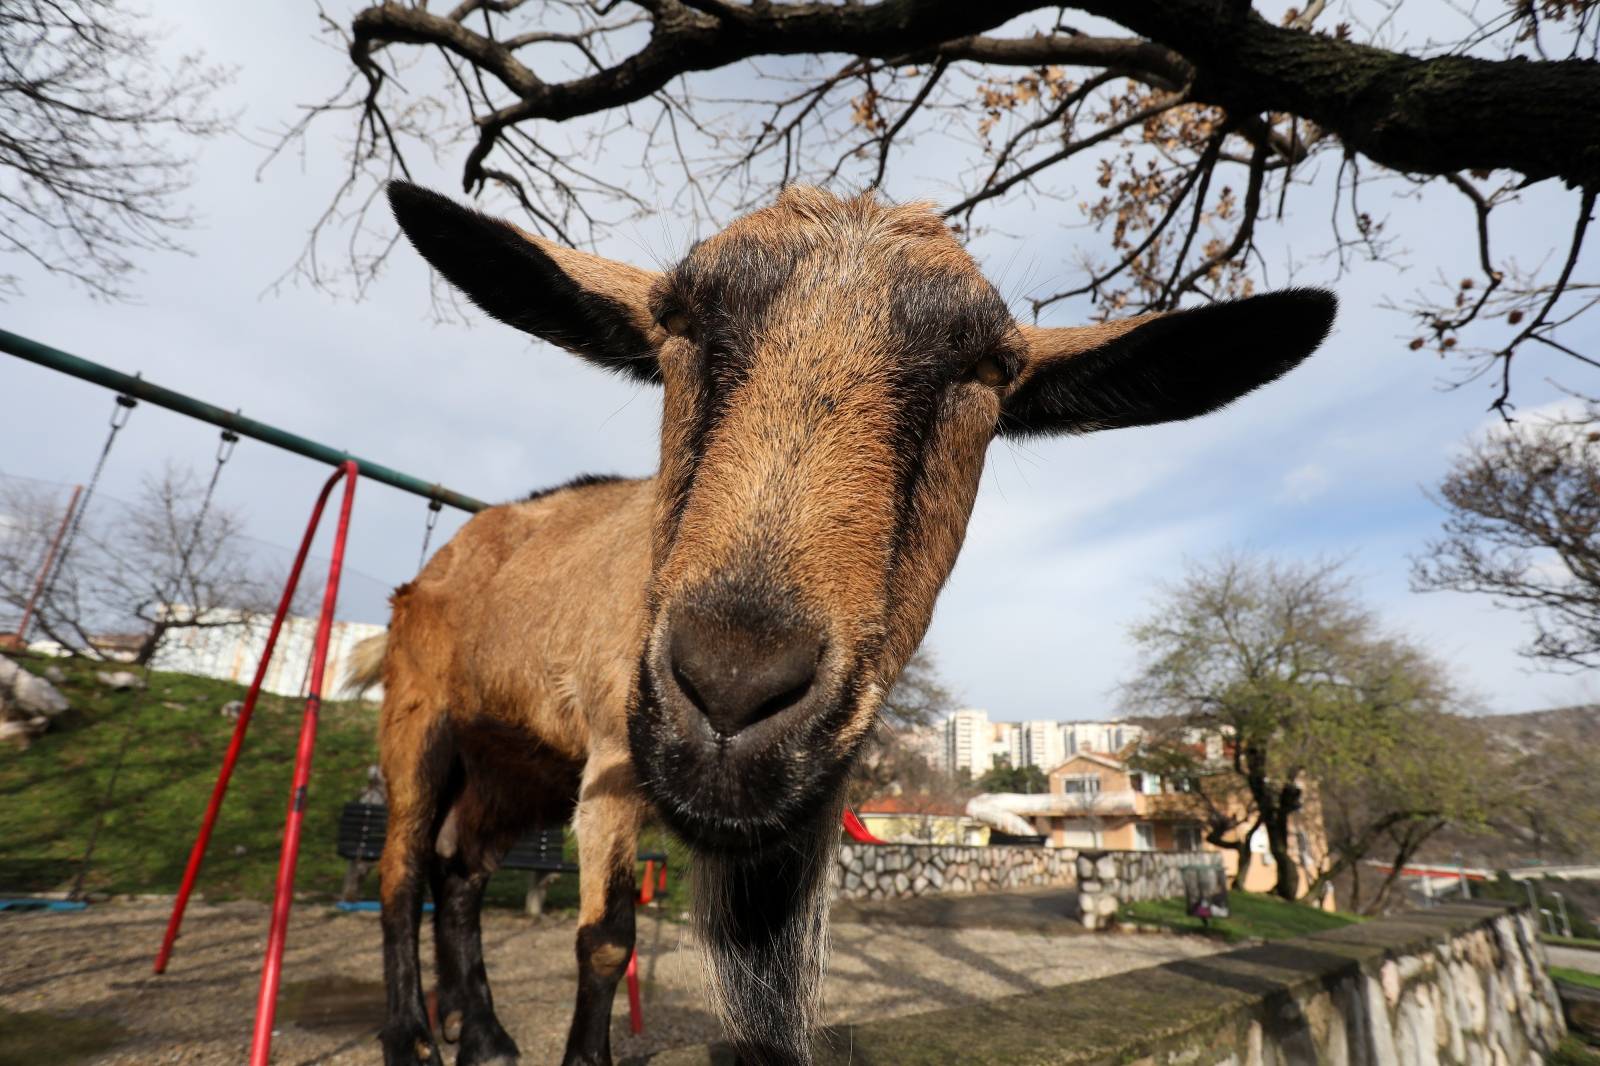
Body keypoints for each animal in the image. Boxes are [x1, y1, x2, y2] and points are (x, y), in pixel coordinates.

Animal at [363, 182, 1337, 1062]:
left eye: (990, 368)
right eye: (675, 318)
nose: (732, 688)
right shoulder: (611, 757)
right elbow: (605, 942)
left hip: (515, 762)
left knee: (459, 871)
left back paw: (486, 1038)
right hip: (421, 721)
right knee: (403, 869)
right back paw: (413, 1037)